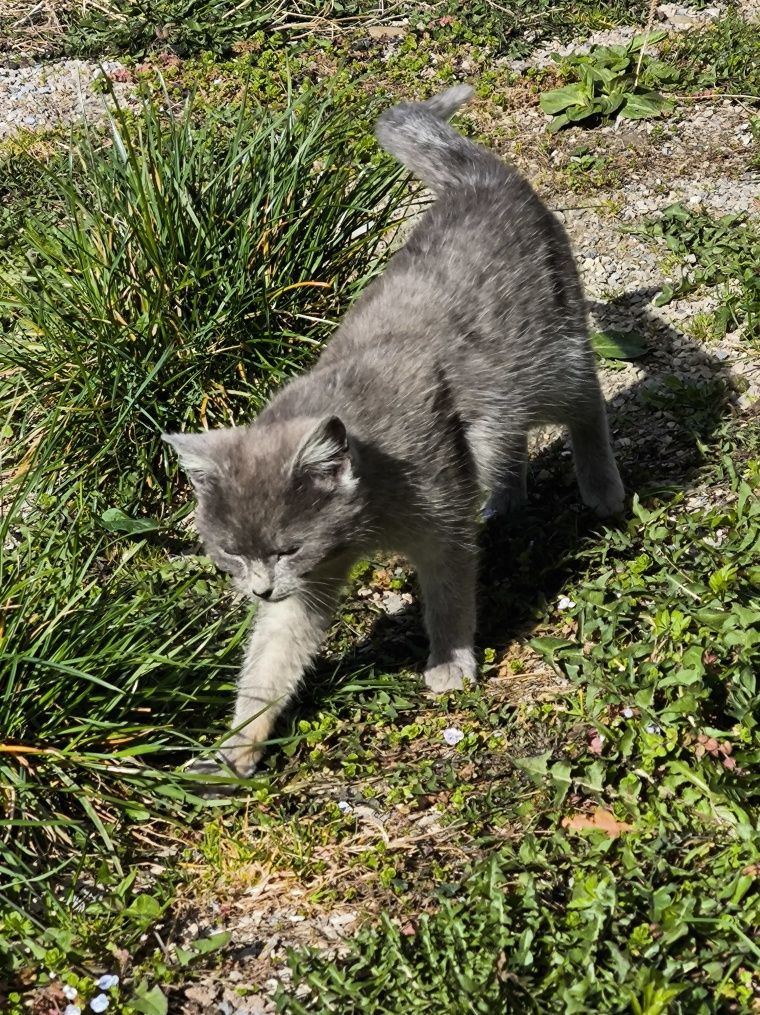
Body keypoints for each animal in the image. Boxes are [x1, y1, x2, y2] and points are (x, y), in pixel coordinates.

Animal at [163, 87, 620, 779]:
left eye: (287, 548)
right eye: (233, 554)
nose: (261, 588)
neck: (367, 516)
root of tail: (479, 181)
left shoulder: (440, 525)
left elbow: (450, 597)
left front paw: (450, 664)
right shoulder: (308, 589)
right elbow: (272, 659)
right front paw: (237, 748)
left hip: (541, 362)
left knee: (587, 398)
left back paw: (603, 490)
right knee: (507, 444)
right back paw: (505, 500)